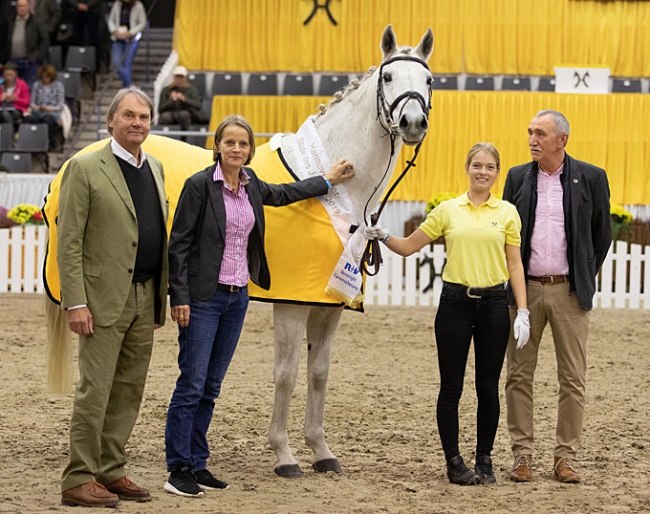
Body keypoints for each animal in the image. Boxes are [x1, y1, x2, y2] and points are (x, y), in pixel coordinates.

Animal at [266, 25, 432, 476]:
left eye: (428, 80)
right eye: (388, 77)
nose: (413, 122)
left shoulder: (329, 303)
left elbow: (318, 372)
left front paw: (321, 451)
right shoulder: (290, 301)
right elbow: (286, 373)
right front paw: (284, 455)